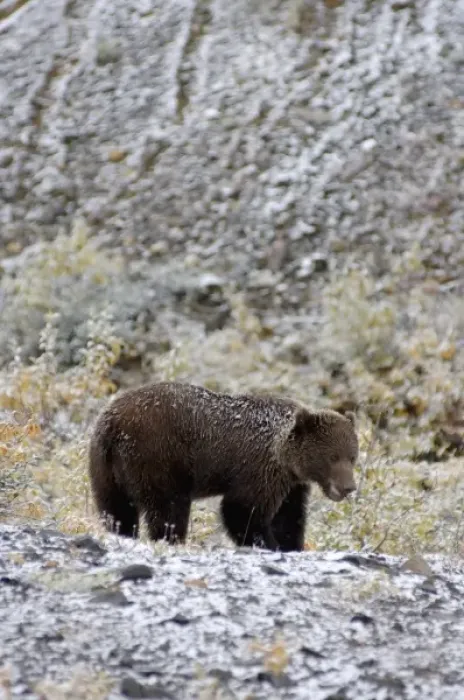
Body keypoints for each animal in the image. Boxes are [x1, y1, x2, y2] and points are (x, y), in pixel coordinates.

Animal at [88, 381, 358, 552]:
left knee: (116, 509)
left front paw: (291, 545)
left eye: (353, 456)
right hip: (158, 455)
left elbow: (289, 517)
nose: (349, 487)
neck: (286, 458)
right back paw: (171, 539)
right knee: (169, 508)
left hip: (105, 468)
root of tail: (114, 424)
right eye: (333, 457)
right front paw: (267, 543)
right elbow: (241, 510)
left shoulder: (291, 484)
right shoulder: (259, 469)